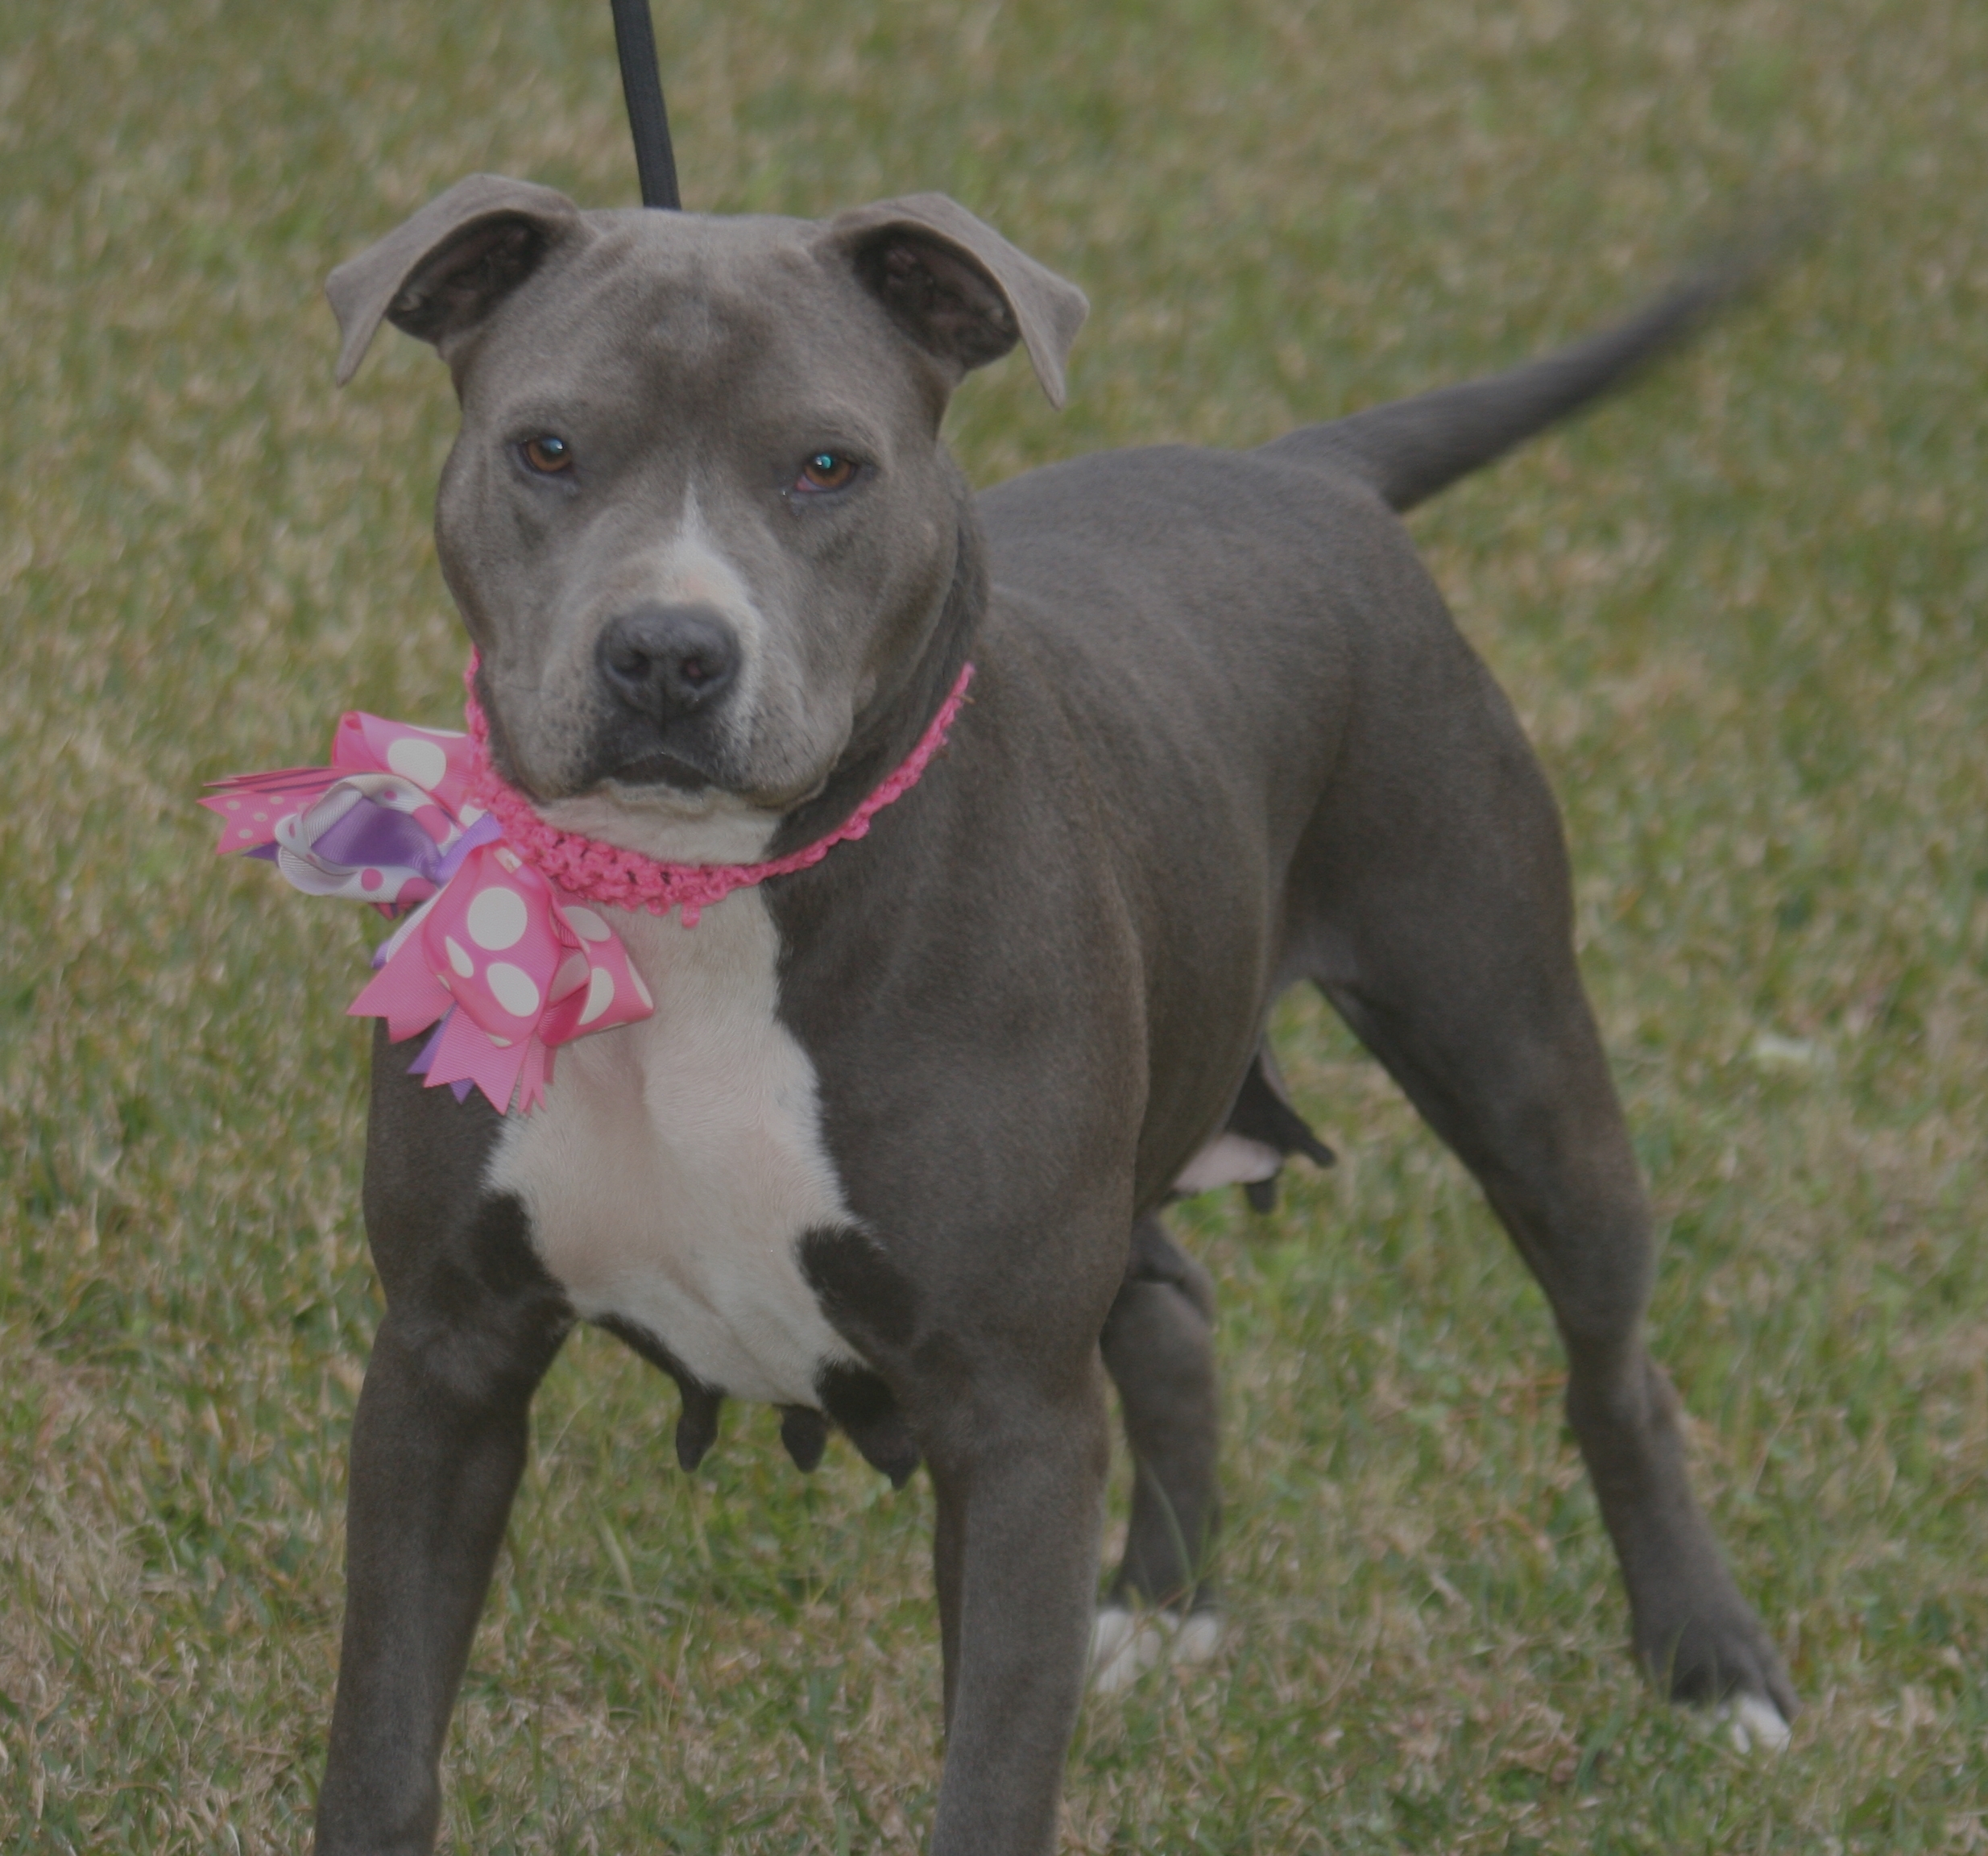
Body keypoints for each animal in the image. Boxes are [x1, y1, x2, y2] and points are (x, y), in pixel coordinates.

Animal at [310, 177, 1804, 1856]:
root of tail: (1308, 472)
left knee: (1613, 1357)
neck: (696, 903)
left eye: (827, 465)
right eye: (549, 448)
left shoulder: (1012, 1415)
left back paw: (1704, 1657)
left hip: (1506, 1032)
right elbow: (384, 1734)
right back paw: (1165, 1599)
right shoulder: (447, 1352)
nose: (667, 653)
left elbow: (991, 1768)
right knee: (1169, 1299)